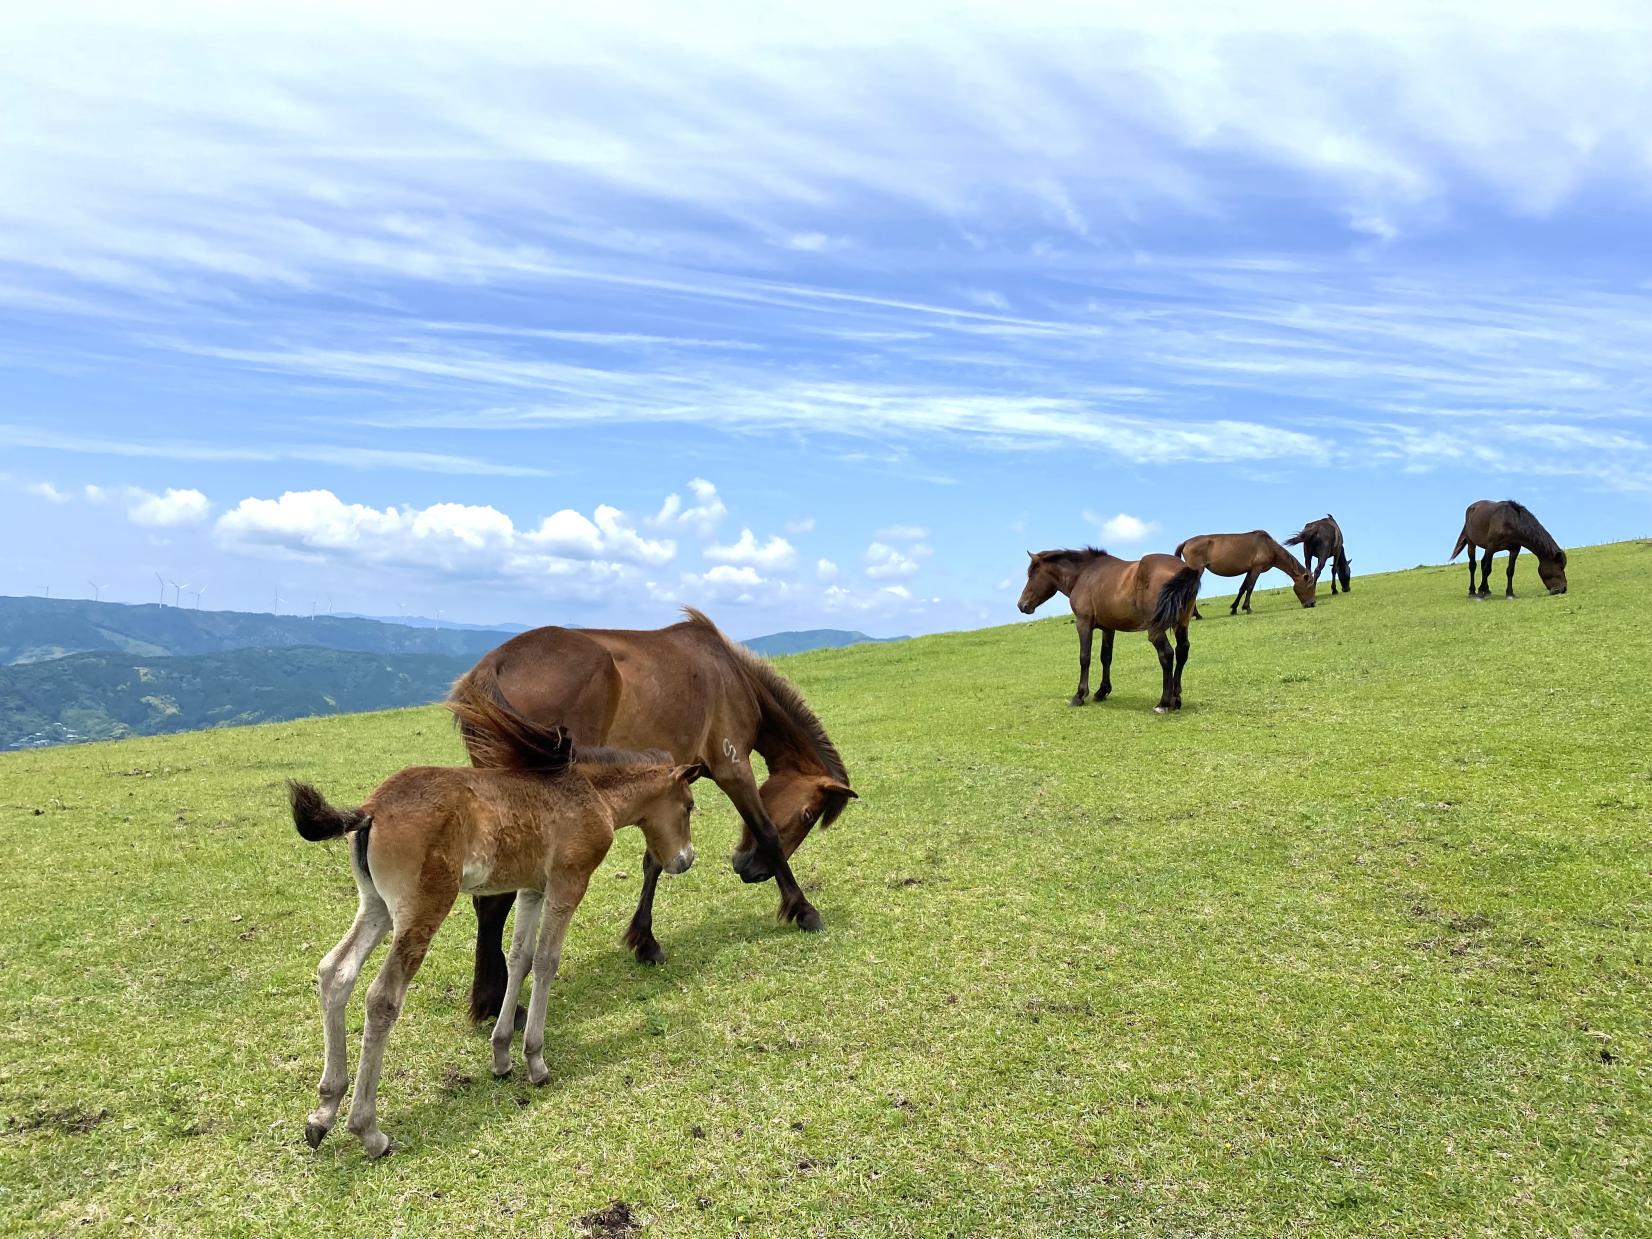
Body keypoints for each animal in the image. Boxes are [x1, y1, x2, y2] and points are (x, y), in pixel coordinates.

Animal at [290, 723, 703, 1163]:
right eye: (689, 805)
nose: (685, 859)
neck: (591, 793)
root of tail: (371, 809)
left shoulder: (532, 889)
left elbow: (519, 958)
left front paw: (502, 1054)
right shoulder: (568, 883)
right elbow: (546, 961)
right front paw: (535, 1061)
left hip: (377, 907)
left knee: (335, 971)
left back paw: (323, 1112)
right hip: (421, 909)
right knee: (382, 997)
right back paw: (369, 1131)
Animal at [446, 607, 859, 1024]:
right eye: (807, 815)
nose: (750, 871)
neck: (731, 674)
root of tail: (492, 668)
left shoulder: (664, 791)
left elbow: (655, 862)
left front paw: (644, 941)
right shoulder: (733, 768)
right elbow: (768, 832)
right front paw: (804, 911)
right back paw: (497, 1003)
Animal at [1017, 548, 1202, 713]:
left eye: (1031, 575)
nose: (1021, 605)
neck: (1084, 575)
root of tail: (1185, 568)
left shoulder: (1083, 623)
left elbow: (1085, 657)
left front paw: (1079, 695)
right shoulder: (1108, 628)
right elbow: (1105, 658)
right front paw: (1102, 691)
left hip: (1156, 630)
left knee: (1167, 654)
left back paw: (1163, 703)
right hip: (1181, 625)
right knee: (1182, 651)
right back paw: (1176, 700)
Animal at [1176, 531, 1314, 617]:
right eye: (1310, 587)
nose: (1311, 604)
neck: (1268, 546)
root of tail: (1186, 542)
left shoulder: (1249, 570)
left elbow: (1242, 588)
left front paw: (1234, 608)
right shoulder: (1256, 569)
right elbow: (1250, 587)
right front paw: (1247, 608)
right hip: (1197, 571)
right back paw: (1197, 615)